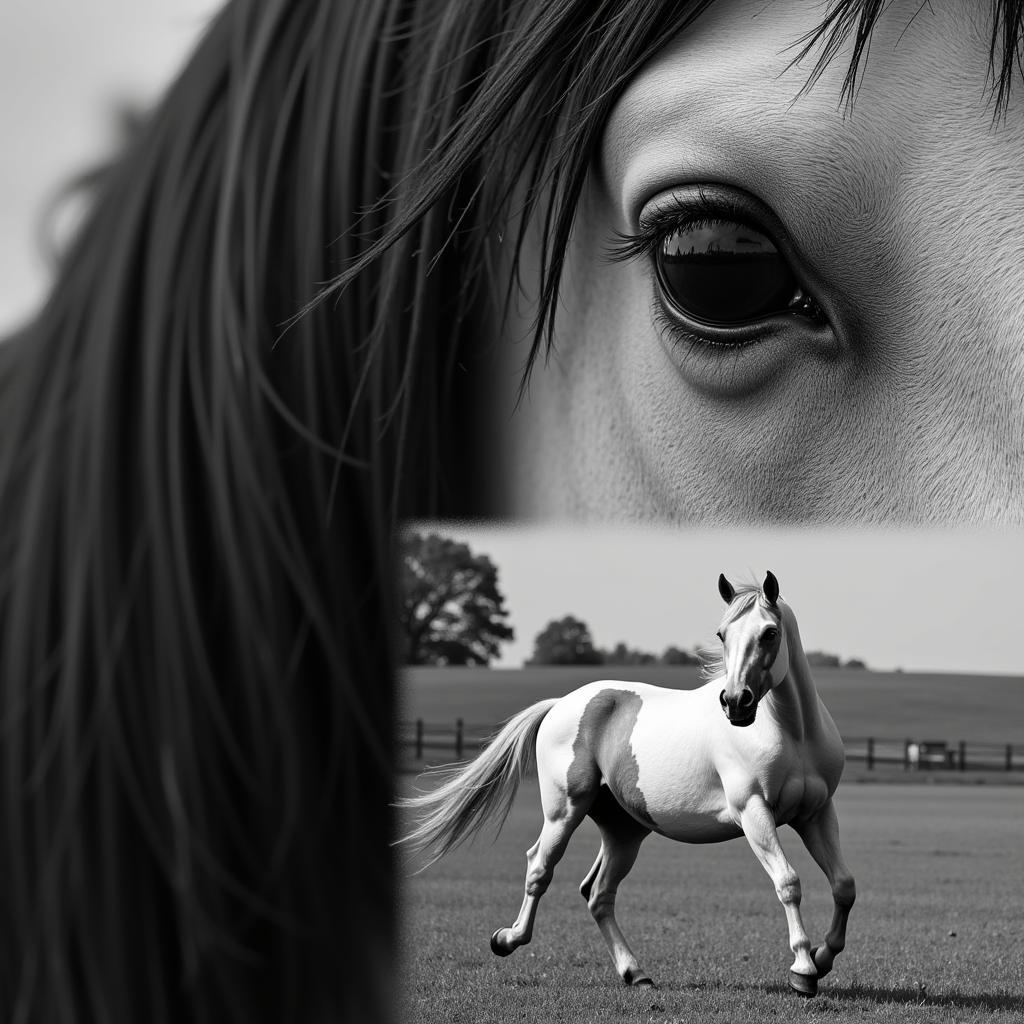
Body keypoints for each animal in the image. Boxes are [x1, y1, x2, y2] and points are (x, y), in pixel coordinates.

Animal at [399, 573, 856, 995]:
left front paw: (823, 957)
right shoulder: (753, 812)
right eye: (722, 634)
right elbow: (788, 883)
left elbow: (844, 886)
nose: (735, 702)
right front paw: (803, 969)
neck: (792, 732)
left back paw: (635, 973)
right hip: (565, 812)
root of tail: (562, 704)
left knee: (598, 894)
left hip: (624, 831)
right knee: (540, 867)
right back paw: (507, 939)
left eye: (770, 633)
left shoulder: (816, 814)